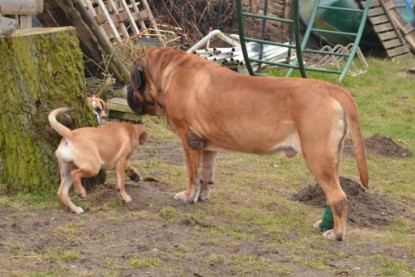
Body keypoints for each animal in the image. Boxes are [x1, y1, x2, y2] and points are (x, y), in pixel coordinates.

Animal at [127, 48, 370, 240]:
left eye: (132, 80)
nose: (126, 90)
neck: (167, 69)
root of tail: (332, 89)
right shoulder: (206, 146)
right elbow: (205, 176)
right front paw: (201, 197)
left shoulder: (190, 141)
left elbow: (192, 175)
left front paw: (187, 196)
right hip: (332, 160)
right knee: (332, 195)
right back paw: (324, 225)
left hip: (317, 157)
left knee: (338, 197)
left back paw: (337, 234)